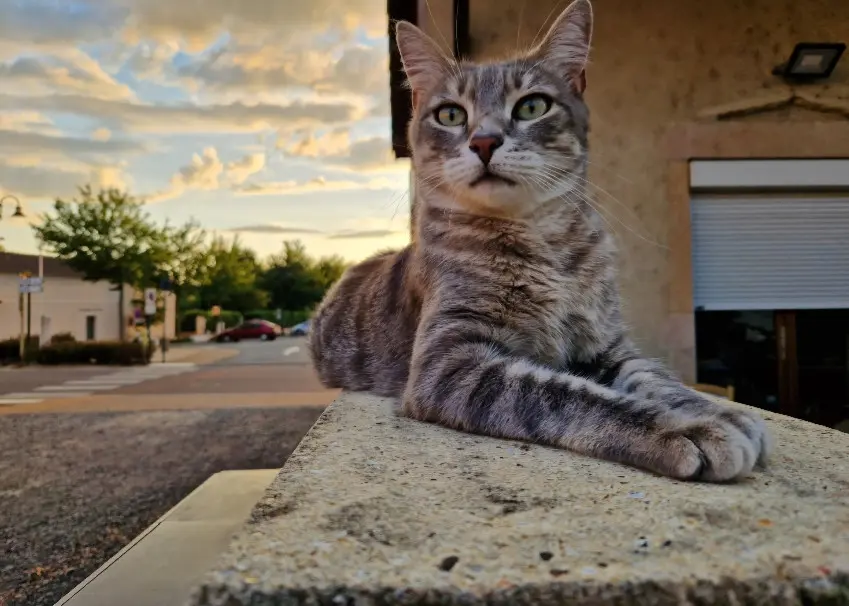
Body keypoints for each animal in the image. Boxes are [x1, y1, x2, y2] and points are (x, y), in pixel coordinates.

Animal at [308, 0, 772, 484]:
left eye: (532, 106)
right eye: (450, 114)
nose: (484, 141)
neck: (545, 247)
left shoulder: (606, 344)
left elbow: (654, 376)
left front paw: (715, 410)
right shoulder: (449, 361)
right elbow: (566, 394)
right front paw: (685, 428)